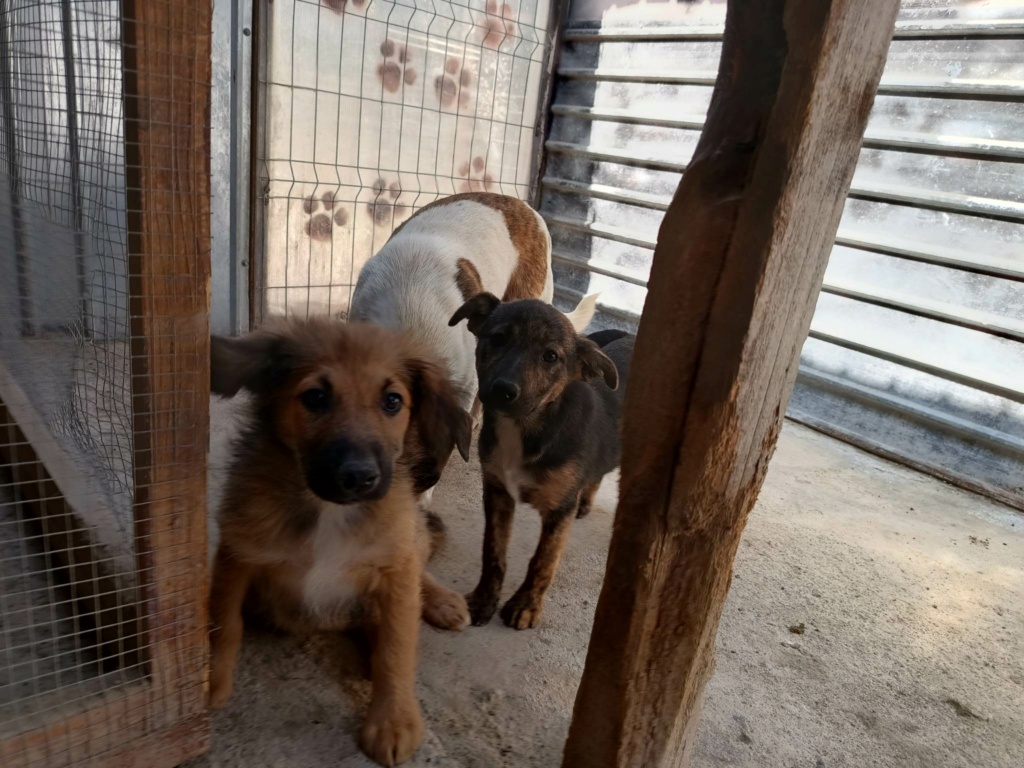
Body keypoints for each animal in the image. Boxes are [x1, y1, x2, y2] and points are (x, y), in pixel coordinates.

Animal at [211, 315, 475, 765]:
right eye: (316, 397)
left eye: (392, 402)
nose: (359, 477)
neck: (326, 511)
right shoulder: (236, 552)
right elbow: (224, 625)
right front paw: (206, 686)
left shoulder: (395, 566)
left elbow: (397, 648)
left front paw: (393, 720)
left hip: (407, 532)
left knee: (419, 556)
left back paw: (440, 602)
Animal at [448, 290, 630, 626]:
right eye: (497, 339)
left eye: (550, 357)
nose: (503, 390)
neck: (528, 428)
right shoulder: (497, 491)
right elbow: (492, 551)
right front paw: (484, 600)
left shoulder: (560, 510)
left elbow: (543, 560)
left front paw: (525, 605)